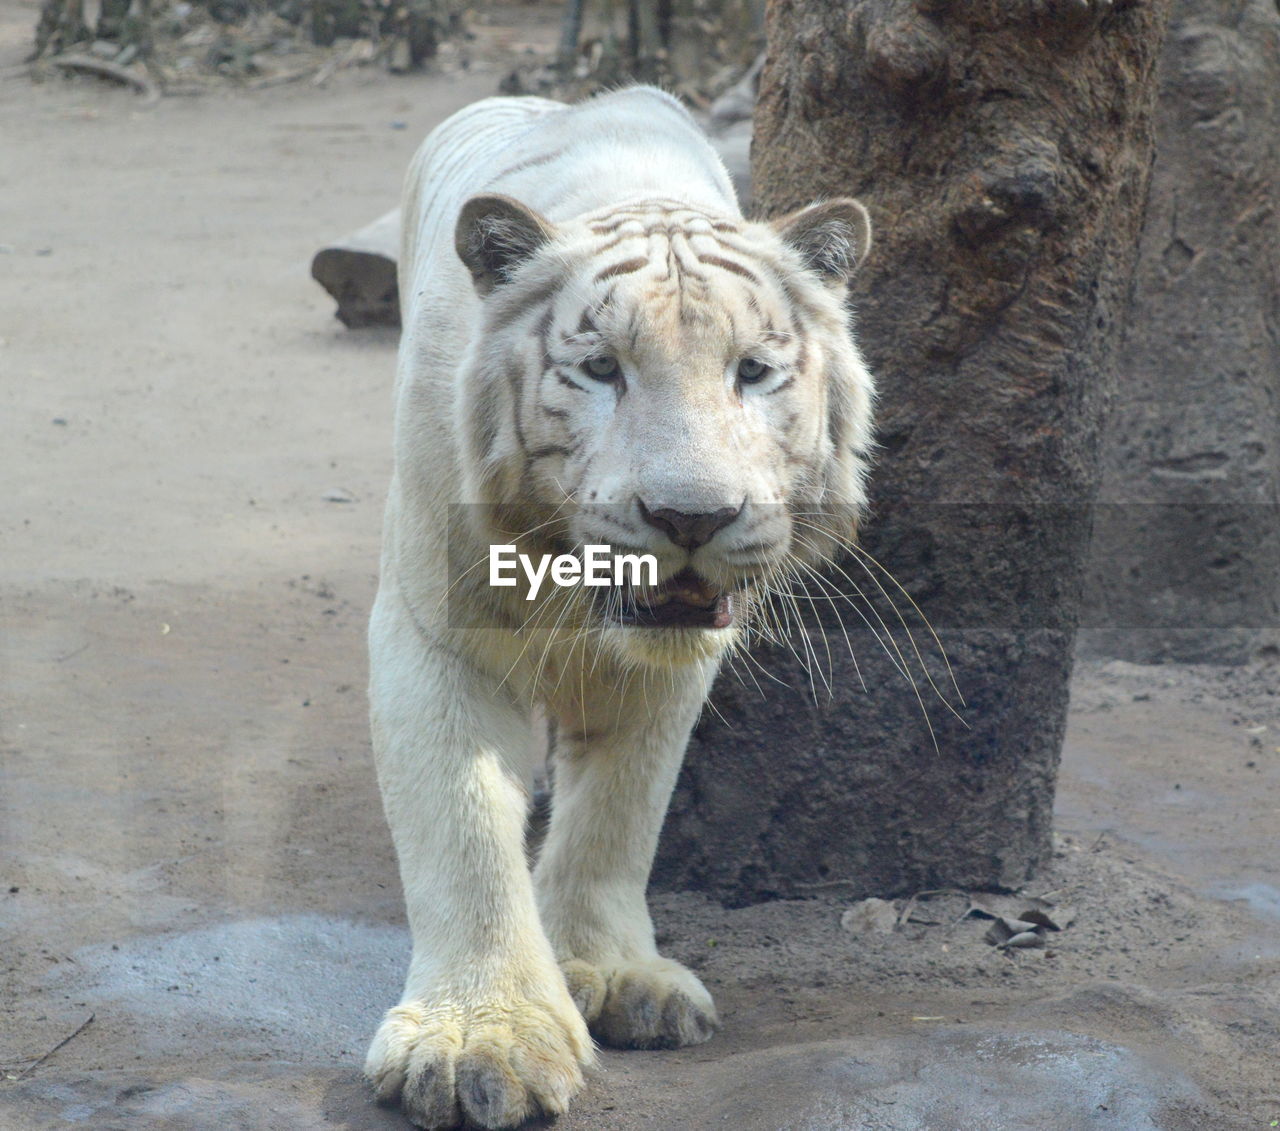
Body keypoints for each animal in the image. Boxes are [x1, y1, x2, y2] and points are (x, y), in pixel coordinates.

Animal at [366, 83, 875, 1125]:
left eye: (752, 371)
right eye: (602, 369)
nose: (693, 515)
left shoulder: (670, 672)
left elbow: (621, 811)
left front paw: (610, 973)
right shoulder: (432, 637)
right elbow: (462, 830)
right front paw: (479, 1043)